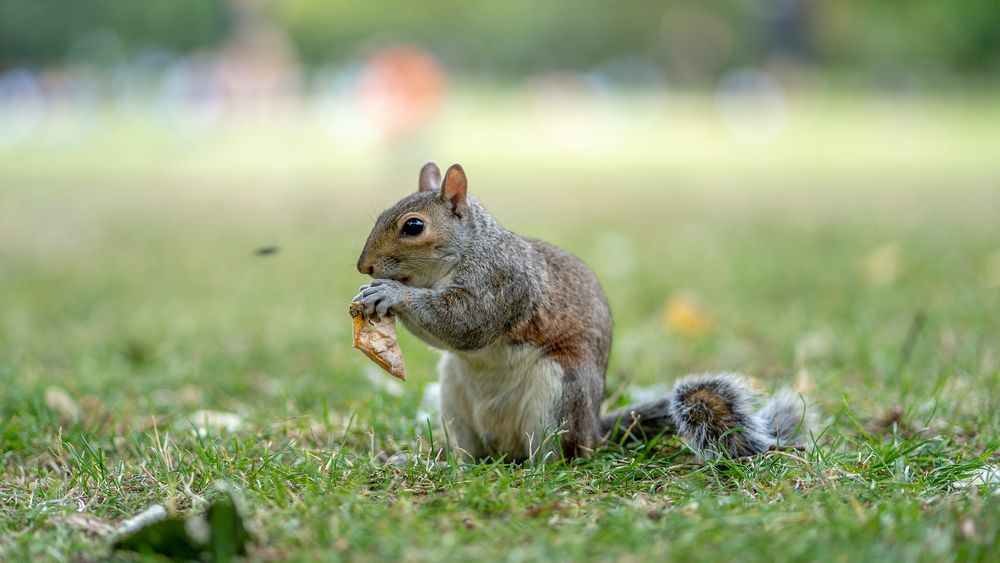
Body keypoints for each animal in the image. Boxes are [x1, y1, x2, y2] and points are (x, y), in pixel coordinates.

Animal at [354, 162, 812, 461]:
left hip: (558, 394)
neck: (466, 251)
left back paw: (536, 471)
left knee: (560, 454)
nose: (364, 267)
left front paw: (392, 293)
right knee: (472, 451)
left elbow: (465, 324)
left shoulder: (501, 284)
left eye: (414, 226)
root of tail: (595, 430)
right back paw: (446, 463)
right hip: (455, 397)